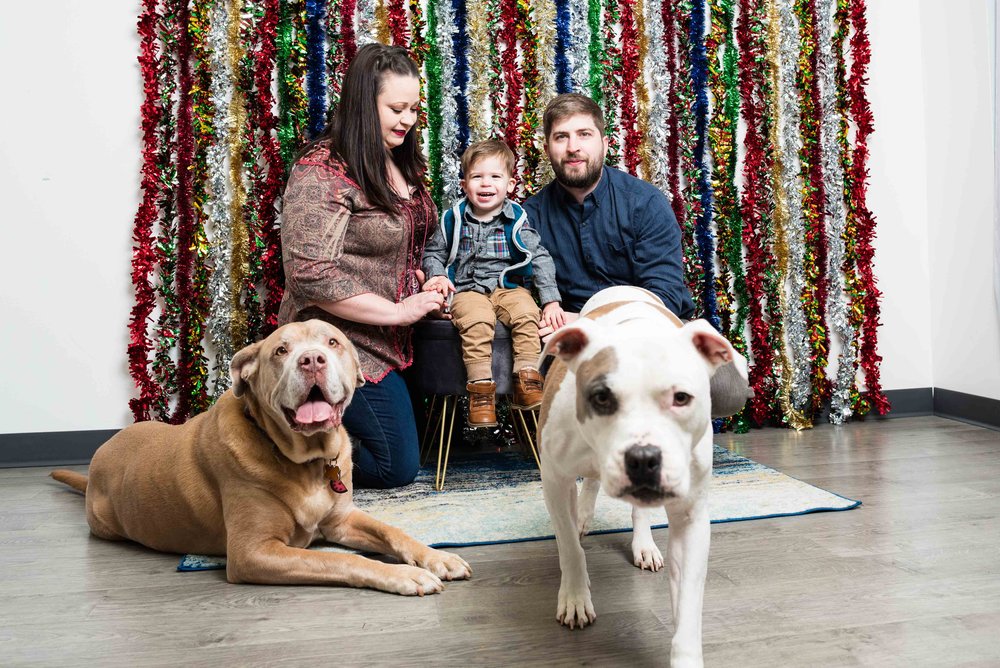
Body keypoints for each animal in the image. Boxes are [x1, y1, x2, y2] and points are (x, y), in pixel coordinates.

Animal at [53, 318, 472, 596]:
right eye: (281, 351)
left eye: (333, 341)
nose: (312, 360)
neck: (308, 460)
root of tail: (100, 455)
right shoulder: (254, 552)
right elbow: (341, 559)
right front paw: (404, 575)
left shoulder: (342, 521)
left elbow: (392, 531)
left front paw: (436, 558)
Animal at [540, 284, 736, 664]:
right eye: (601, 397)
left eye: (681, 398)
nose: (643, 458)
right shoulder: (554, 479)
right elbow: (569, 545)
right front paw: (575, 595)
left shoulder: (690, 517)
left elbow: (688, 604)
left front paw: (686, 656)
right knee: (583, 495)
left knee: (636, 509)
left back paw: (643, 544)